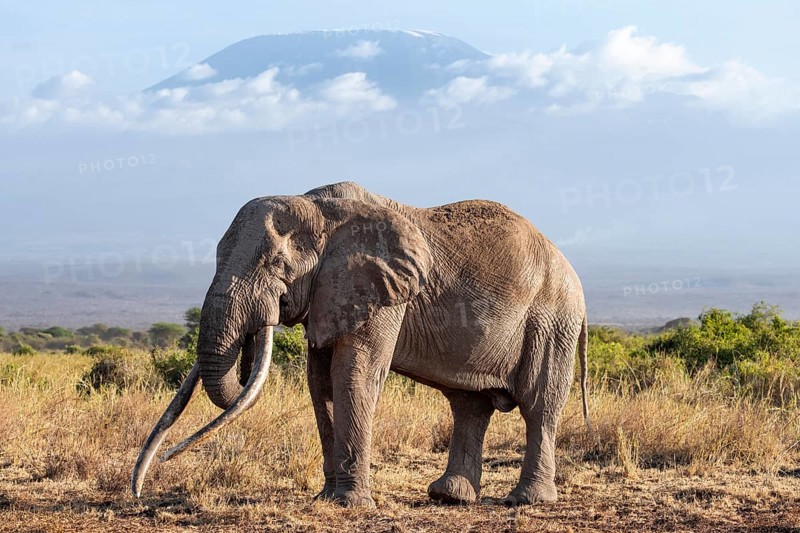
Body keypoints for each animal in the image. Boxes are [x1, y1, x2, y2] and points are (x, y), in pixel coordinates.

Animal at [132, 181, 589, 507]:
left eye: (276, 264)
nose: (138, 493)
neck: (318, 206)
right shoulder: (329, 293)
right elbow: (319, 381)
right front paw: (327, 498)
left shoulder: (383, 290)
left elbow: (353, 372)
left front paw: (351, 504)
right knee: (468, 404)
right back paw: (447, 497)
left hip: (552, 320)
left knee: (538, 403)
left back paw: (525, 501)